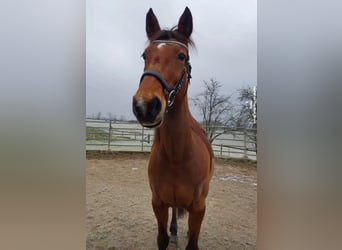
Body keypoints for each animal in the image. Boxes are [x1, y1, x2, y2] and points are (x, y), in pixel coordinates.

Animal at [132, 6, 214, 249]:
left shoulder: (199, 208)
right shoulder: (158, 203)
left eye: (181, 56)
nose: (145, 105)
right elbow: (162, 238)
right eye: (145, 55)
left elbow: (193, 243)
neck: (177, 156)